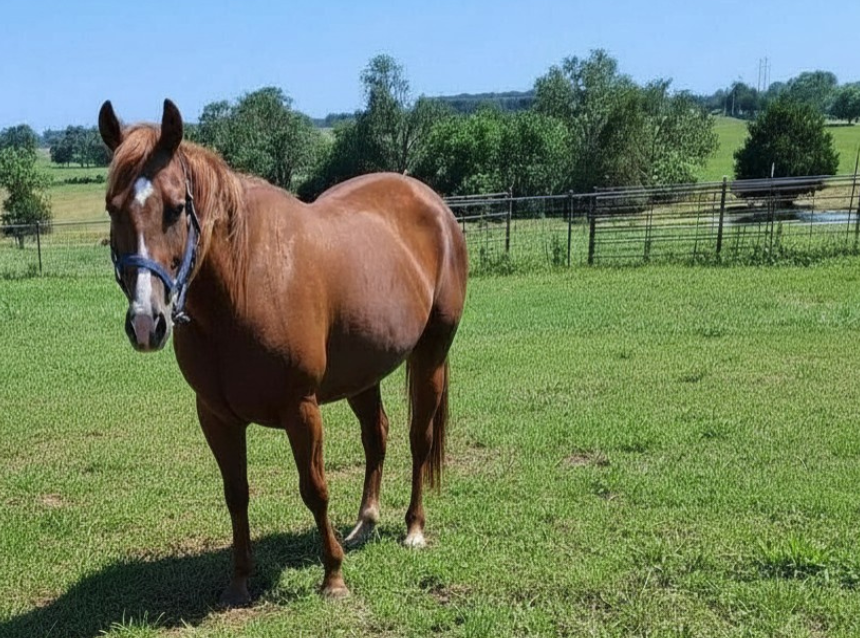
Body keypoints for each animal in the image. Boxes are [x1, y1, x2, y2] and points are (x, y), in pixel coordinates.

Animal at [98, 99, 468, 606]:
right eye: (112, 208)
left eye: (174, 210)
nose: (145, 322)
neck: (243, 283)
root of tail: (435, 206)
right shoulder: (216, 416)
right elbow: (236, 492)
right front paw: (239, 581)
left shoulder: (301, 409)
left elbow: (314, 489)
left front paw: (333, 576)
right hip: (362, 373)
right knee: (377, 435)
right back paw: (366, 522)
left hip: (430, 354)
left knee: (419, 438)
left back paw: (413, 528)